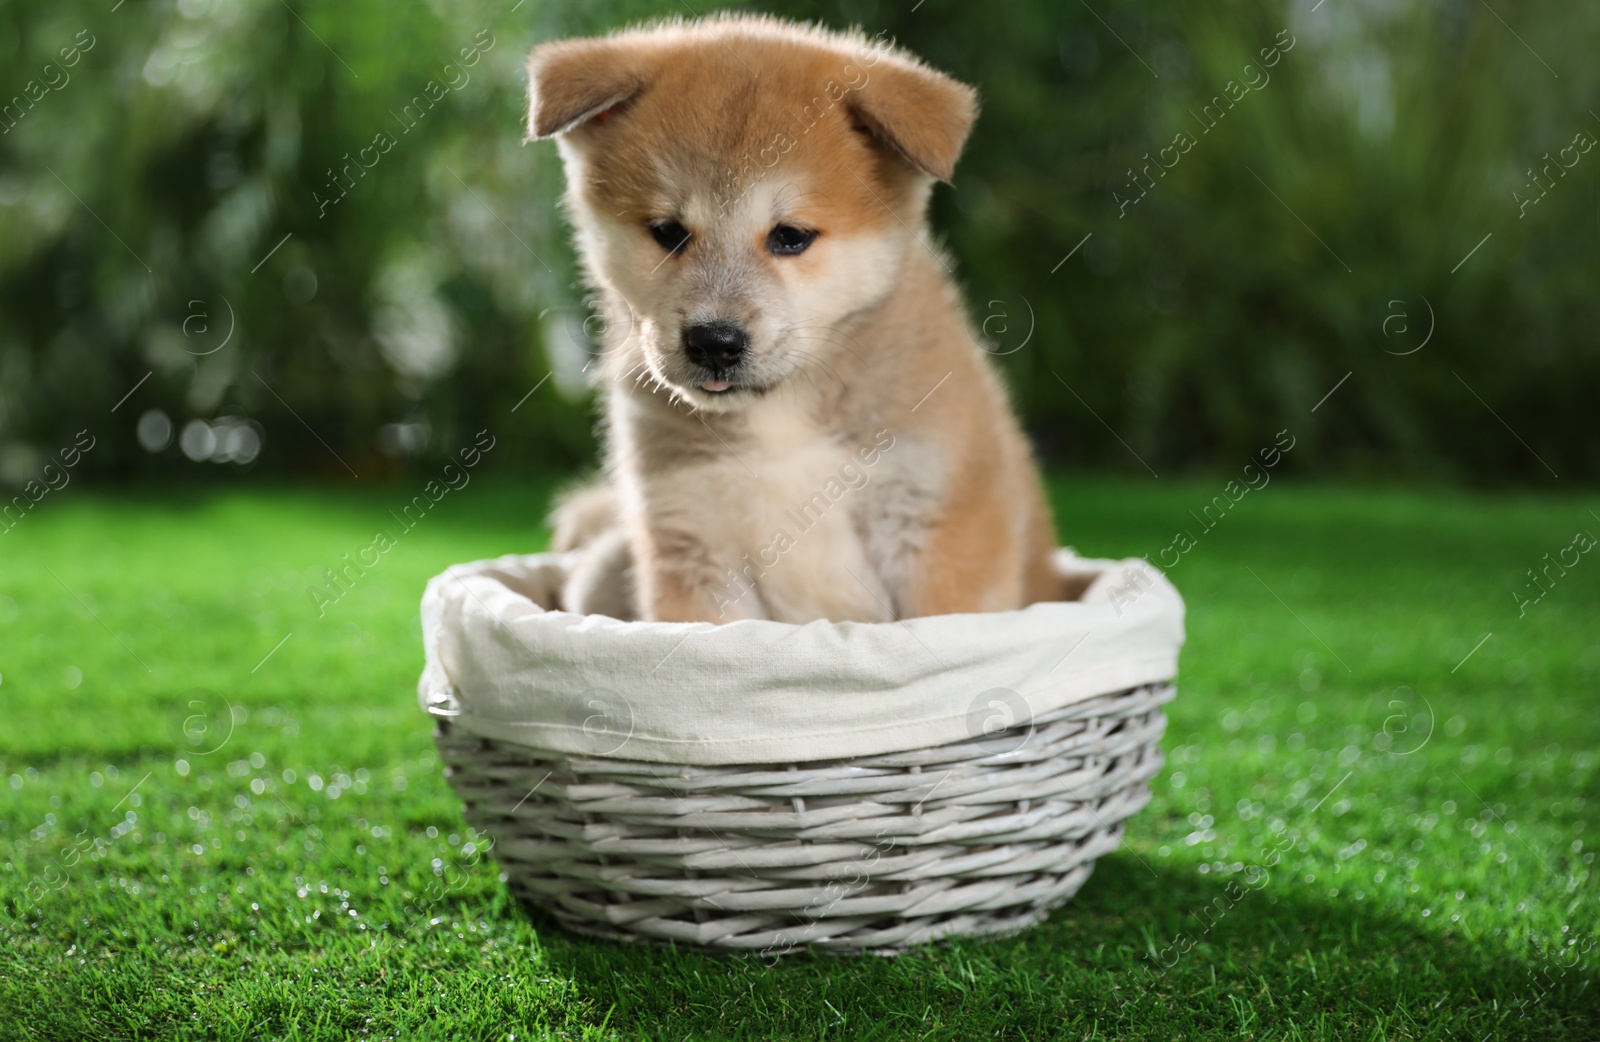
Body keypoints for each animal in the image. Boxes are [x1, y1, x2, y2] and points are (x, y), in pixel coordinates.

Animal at [531, 16, 1068, 624]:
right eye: (668, 232)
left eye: (790, 236)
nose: (714, 342)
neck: (784, 418)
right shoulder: (692, 539)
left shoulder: (932, 523)